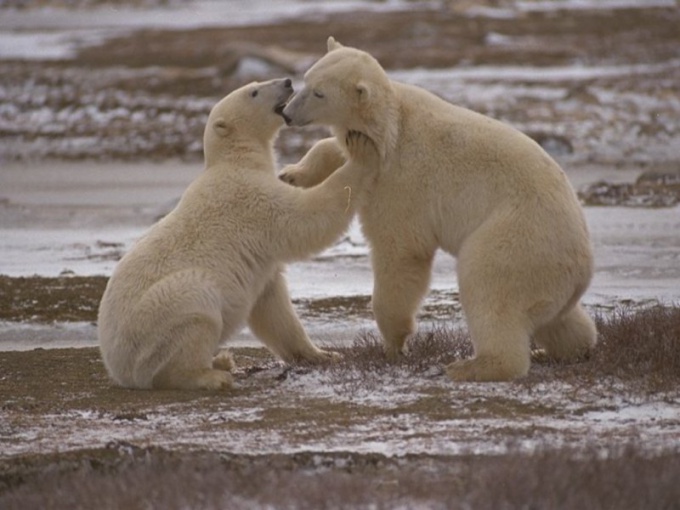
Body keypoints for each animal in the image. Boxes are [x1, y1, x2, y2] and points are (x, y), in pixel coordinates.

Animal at [97, 78, 378, 390]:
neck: (235, 160)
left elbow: (273, 308)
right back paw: (212, 374)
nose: (287, 81)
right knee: (195, 308)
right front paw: (361, 150)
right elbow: (306, 218)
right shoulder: (250, 197)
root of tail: (117, 367)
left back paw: (221, 360)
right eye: (253, 92)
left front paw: (323, 355)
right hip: (157, 319)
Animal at [280, 38, 596, 382]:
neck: (390, 125)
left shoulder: (402, 179)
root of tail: (582, 268)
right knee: (560, 319)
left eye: (319, 93)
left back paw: (471, 366)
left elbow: (401, 251)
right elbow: (338, 152)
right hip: (550, 278)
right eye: (306, 80)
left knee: (488, 288)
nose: (286, 114)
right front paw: (291, 174)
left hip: (519, 240)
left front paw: (394, 343)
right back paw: (563, 349)